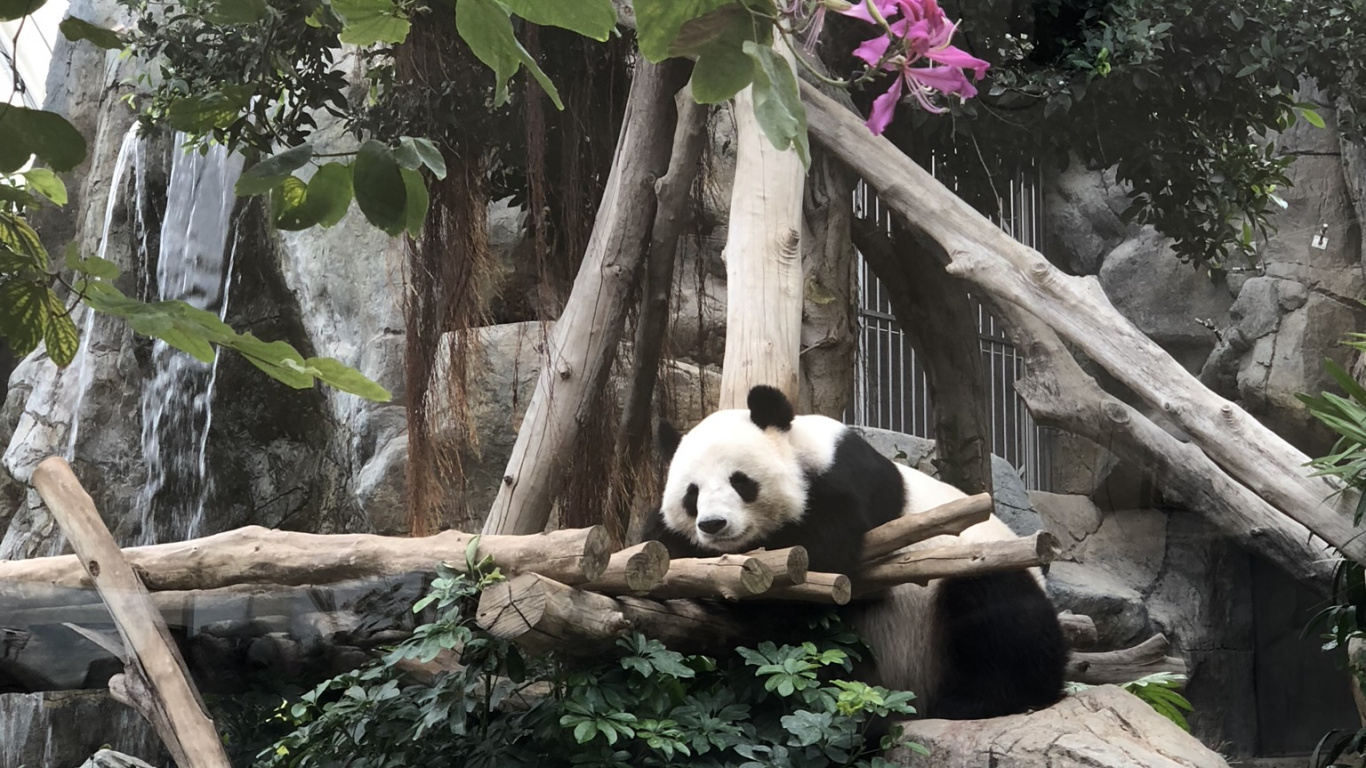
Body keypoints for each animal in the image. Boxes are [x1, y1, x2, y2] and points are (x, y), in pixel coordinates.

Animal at [641, 384, 1068, 720]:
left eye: (741, 482)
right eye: (692, 494)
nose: (713, 525)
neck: (802, 447)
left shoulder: (847, 483)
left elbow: (816, 561)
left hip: (974, 567)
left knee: (1001, 615)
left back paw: (979, 701)